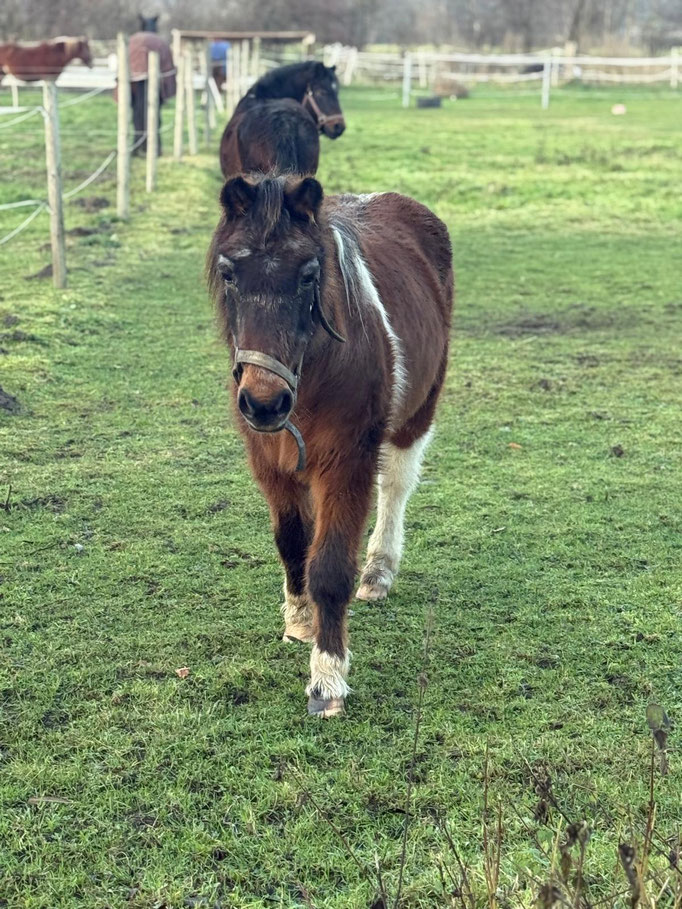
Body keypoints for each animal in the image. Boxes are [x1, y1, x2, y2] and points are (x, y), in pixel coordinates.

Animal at [207, 174, 453, 717]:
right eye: (229, 273)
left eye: (308, 275)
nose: (264, 402)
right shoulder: (270, 464)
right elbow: (292, 542)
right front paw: (300, 619)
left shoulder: (346, 462)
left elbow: (332, 565)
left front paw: (327, 678)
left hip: (418, 411)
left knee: (396, 485)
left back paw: (379, 572)